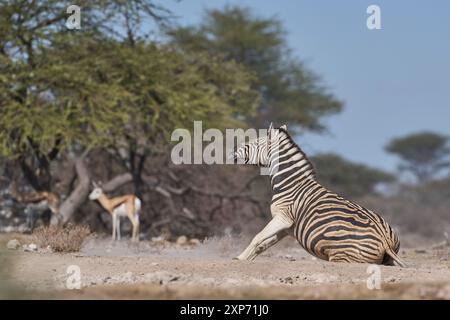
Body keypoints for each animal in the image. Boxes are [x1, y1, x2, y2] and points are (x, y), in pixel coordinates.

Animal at [232, 124, 404, 266]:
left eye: (253, 144)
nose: (232, 153)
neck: (290, 183)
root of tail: (385, 242)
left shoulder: (283, 217)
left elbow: (257, 237)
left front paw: (238, 259)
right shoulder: (286, 227)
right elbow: (262, 244)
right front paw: (244, 259)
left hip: (341, 256)